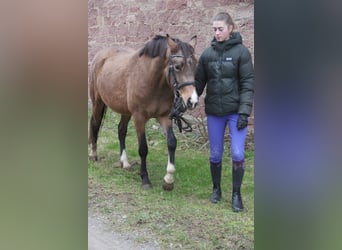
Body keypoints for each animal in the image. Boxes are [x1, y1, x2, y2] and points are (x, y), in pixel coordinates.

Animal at [89, 35, 198, 190]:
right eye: (178, 66)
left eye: (195, 65)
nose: (192, 101)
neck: (153, 81)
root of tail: (100, 55)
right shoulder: (139, 117)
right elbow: (143, 148)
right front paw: (145, 179)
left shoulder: (164, 117)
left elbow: (172, 143)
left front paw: (168, 180)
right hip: (97, 102)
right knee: (95, 124)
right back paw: (93, 154)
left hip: (125, 111)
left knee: (121, 130)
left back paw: (125, 162)